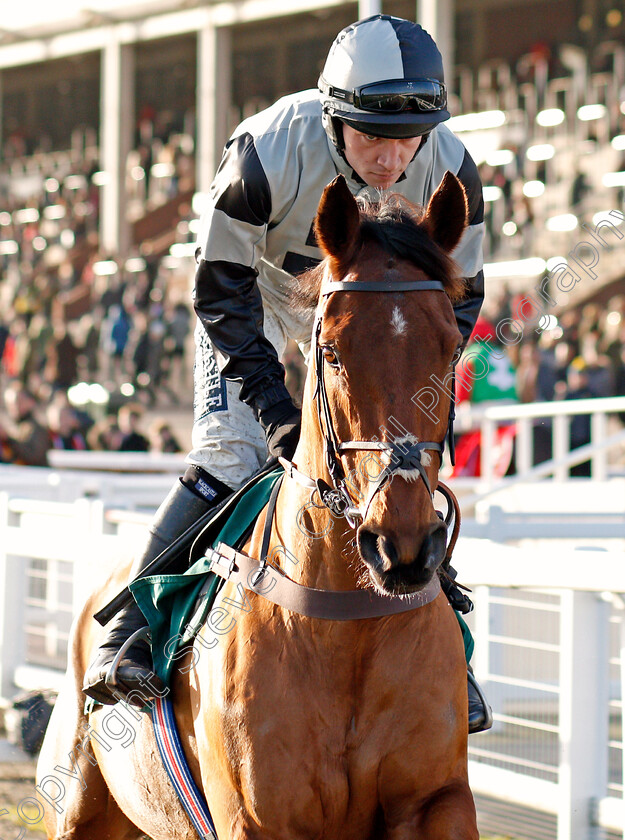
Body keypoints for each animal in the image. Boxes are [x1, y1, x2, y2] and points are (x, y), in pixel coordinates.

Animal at [37, 172, 478, 840]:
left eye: (452, 348)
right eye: (332, 351)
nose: (401, 543)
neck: (349, 630)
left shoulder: (437, 798)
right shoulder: (256, 817)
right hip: (80, 807)